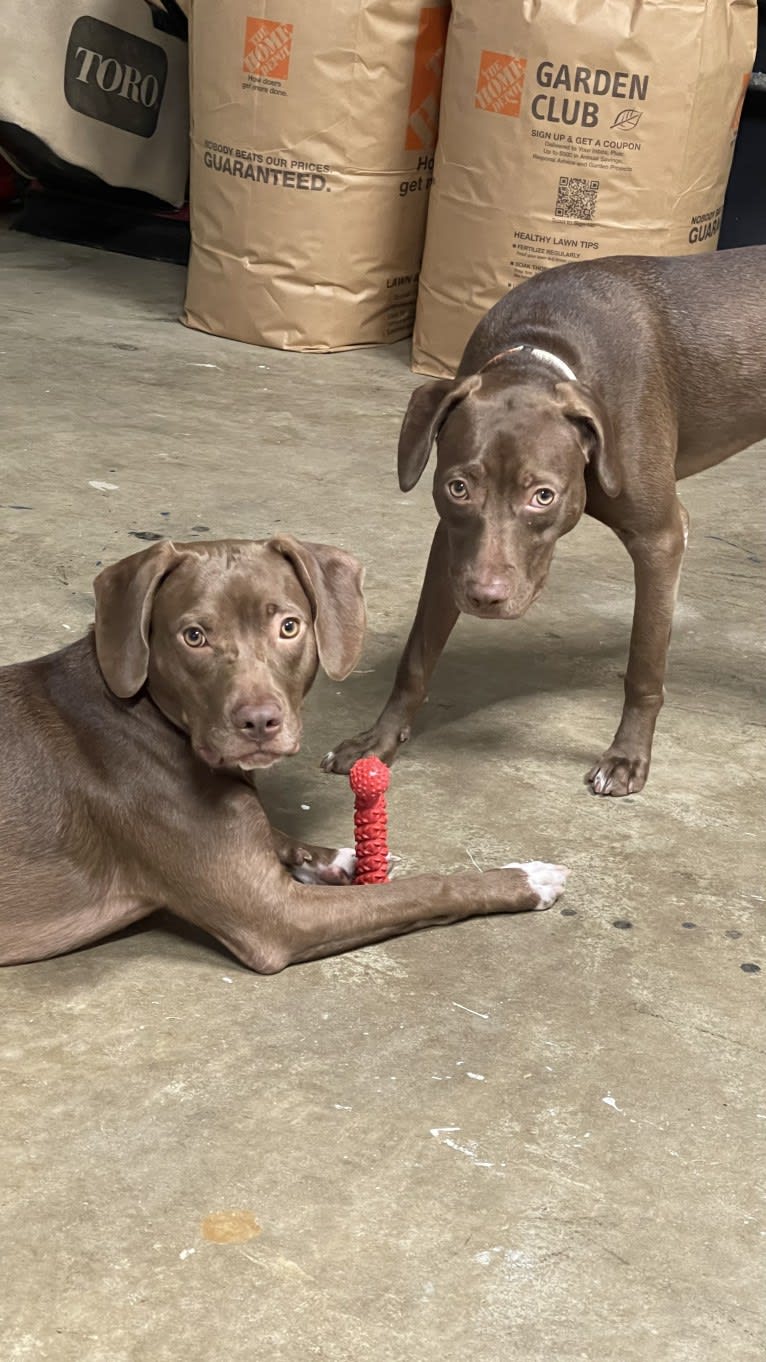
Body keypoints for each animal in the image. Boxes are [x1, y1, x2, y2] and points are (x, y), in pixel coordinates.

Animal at [0, 536, 564, 975]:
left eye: (289, 627)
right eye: (194, 636)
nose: (259, 722)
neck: (152, 715)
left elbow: (280, 836)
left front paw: (340, 859)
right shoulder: (277, 917)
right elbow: (426, 891)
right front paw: (520, 880)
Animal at [324, 250, 763, 795]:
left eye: (543, 496)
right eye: (458, 487)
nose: (485, 598)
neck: (543, 349)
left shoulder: (659, 538)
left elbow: (643, 665)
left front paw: (627, 756)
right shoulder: (452, 546)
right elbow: (417, 656)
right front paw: (380, 738)